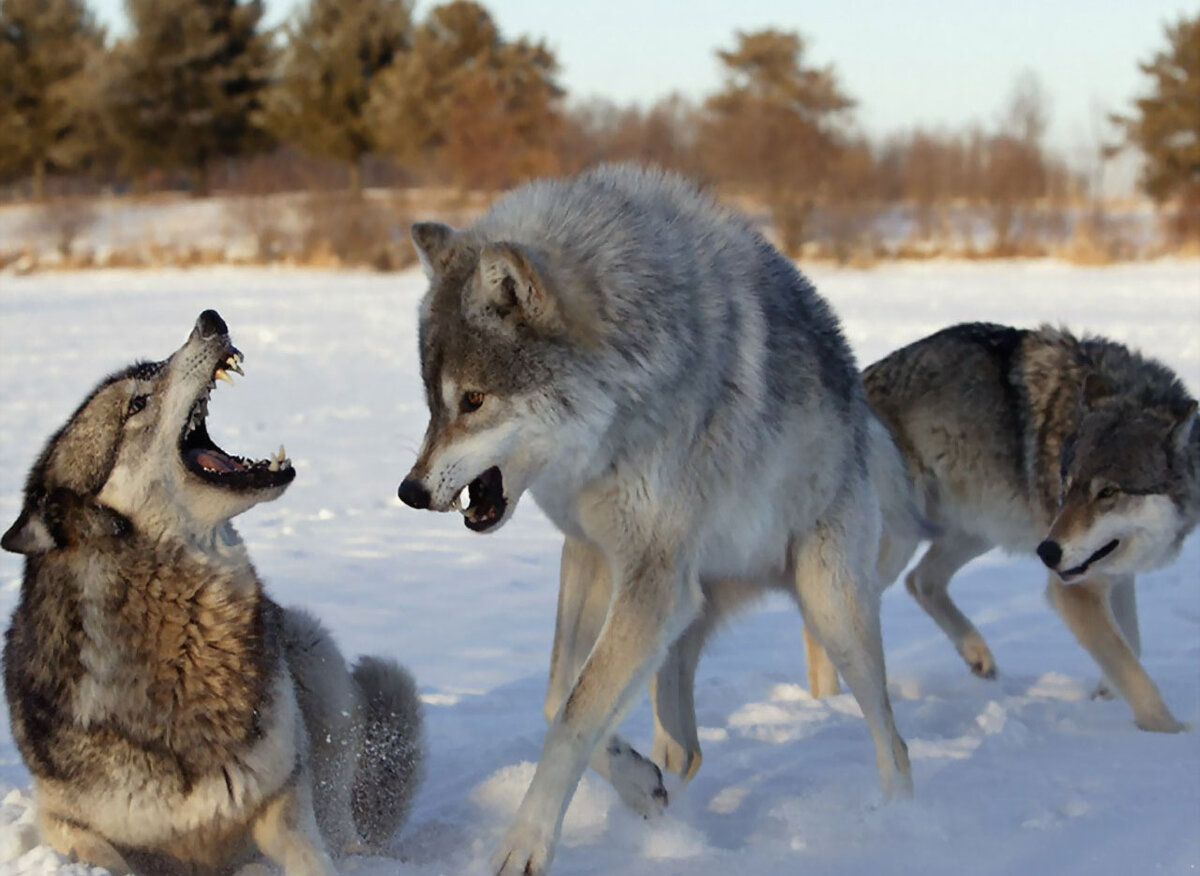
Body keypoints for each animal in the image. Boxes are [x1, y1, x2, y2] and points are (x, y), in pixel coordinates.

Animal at [0, 309, 424, 868]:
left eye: (152, 367)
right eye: (137, 402)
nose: (210, 318)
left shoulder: (283, 792)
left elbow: (310, 852)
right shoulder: (64, 822)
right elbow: (103, 856)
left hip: (313, 653)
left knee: (341, 821)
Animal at [398, 163, 912, 873]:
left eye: (473, 400)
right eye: (431, 403)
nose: (410, 491)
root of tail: (864, 414)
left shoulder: (648, 579)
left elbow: (574, 716)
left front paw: (523, 845)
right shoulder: (592, 554)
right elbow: (559, 699)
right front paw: (639, 783)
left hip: (827, 609)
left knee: (895, 743)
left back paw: (897, 829)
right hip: (682, 623)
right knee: (687, 749)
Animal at [864, 321, 1200, 729]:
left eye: (1108, 492)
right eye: (1066, 484)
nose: (1047, 552)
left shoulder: (1113, 573)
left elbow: (1131, 645)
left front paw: (1105, 694)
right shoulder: (1074, 589)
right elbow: (1136, 675)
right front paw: (1170, 734)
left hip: (979, 530)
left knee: (920, 580)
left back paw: (978, 655)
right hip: (898, 542)